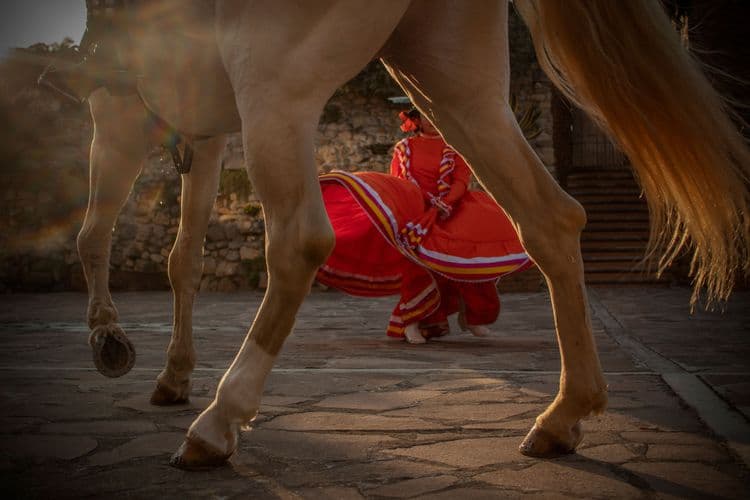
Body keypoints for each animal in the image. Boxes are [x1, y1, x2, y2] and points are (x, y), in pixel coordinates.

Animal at [75, 0, 750, 469]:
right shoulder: (204, 131)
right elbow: (183, 257)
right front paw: (171, 374)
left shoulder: (116, 111)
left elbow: (91, 234)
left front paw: (110, 341)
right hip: (449, 74)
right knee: (551, 219)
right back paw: (562, 415)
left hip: (274, 83)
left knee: (299, 241)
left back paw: (219, 422)